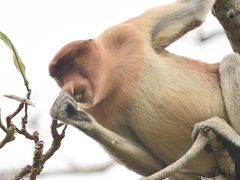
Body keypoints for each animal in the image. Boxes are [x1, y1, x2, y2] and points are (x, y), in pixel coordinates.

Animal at [48, 0, 240, 179]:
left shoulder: (122, 33)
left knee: (230, 62)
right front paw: (73, 115)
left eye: (71, 67)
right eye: (61, 76)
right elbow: (154, 164)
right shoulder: (98, 110)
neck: (113, 80)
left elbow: (194, 10)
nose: (68, 85)